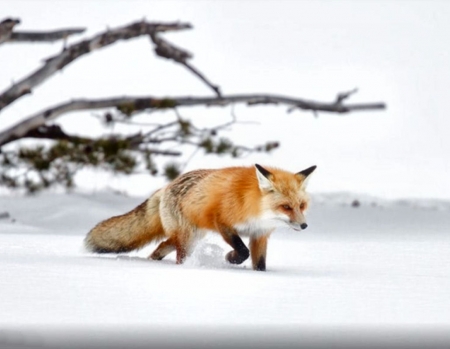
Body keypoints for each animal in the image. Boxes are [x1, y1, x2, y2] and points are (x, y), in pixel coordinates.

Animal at [84, 163, 316, 270]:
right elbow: (243, 250)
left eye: (301, 205)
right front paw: (230, 258)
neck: (252, 207)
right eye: (286, 207)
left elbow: (259, 263)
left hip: (189, 236)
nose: (305, 226)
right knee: (177, 253)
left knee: (162, 246)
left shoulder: (259, 234)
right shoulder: (222, 222)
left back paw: (152, 261)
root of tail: (167, 186)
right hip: (188, 238)